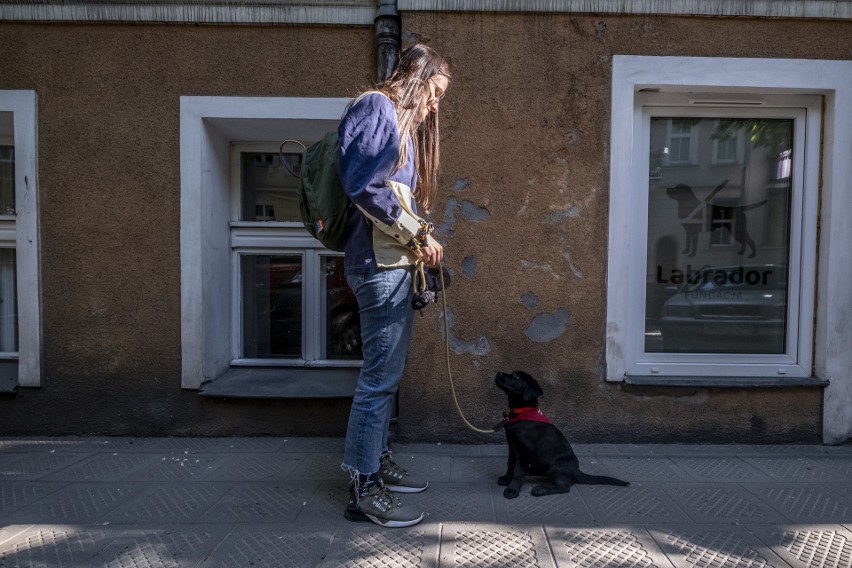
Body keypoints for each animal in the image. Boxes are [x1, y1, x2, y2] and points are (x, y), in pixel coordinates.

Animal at [492, 370, 624, 500]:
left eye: (517, 377)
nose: (498, 373)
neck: (522, 413)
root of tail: (576, 471)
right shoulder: (512, 446)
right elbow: (510, 464)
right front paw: (506, 478)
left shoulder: (524, 451)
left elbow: (518, 472)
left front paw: (512, 489)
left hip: (555, 466)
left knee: (564, 486)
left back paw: (540, 489)